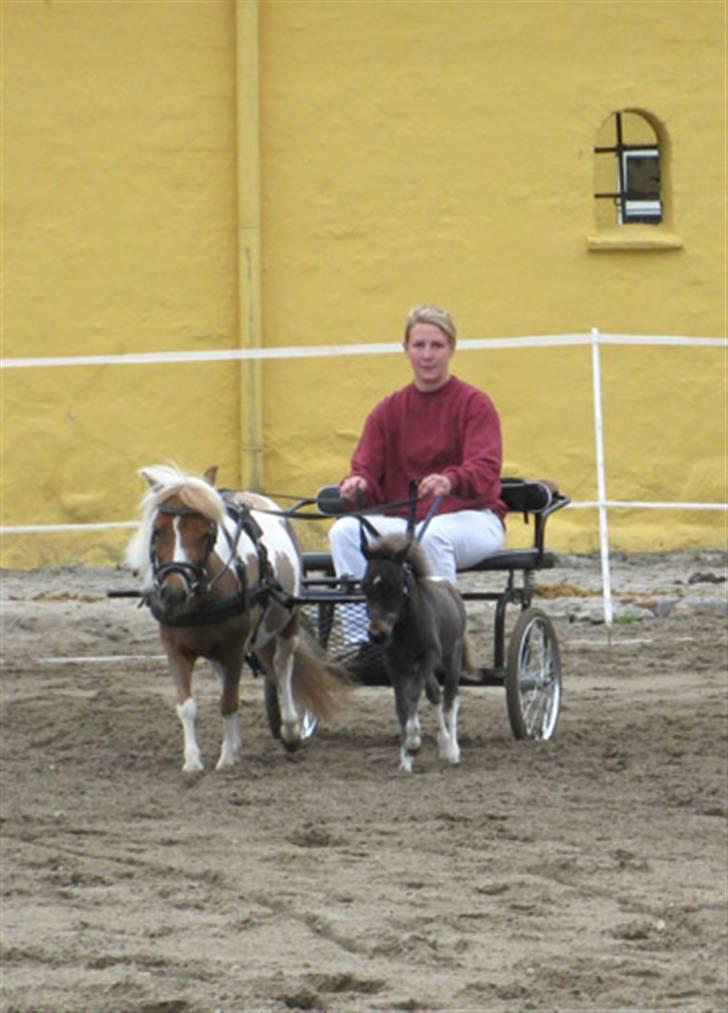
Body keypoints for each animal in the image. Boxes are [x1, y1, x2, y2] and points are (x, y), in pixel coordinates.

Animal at [126, 463, 348, 769]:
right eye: (157, 531)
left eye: (207, 533)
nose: (172, 594)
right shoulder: (175, 647)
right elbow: (187, 705)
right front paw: (193, 761)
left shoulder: (233, 648)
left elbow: (228, 702)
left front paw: (227, 759)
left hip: (288, 621)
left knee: (283, 667)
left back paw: (291, 729)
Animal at [360, 534, 471, 769]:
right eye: (364, 586)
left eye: (395, 586)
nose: (377, 634)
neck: (405, 627)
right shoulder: (394, 663)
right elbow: (401, 704)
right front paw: (406, 759)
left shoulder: (429, 656)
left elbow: (413, 695)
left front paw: (413, 742)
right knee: (435, 695)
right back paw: (444, 744)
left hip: (452, 655)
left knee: (450, 699)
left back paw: (453, 751)